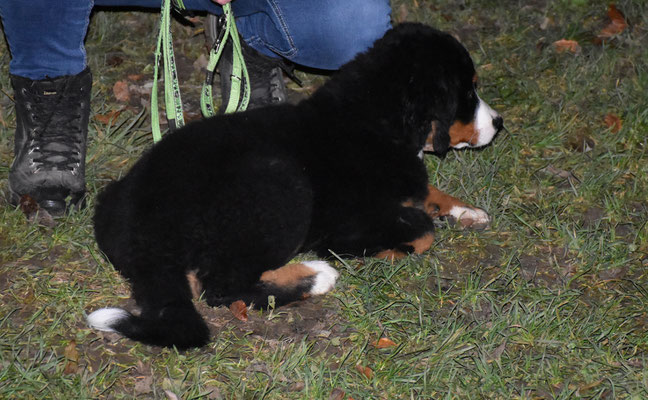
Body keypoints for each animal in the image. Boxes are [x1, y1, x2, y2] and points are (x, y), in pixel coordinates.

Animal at [87, 21, 502, 348]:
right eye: (468, 93)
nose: (498, 123)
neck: (374, 122)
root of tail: (141, 236)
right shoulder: (346, 221)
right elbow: (422, 230)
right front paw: (386, 248)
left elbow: (427, 194)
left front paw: (467, 210)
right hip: (281, 185)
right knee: (221, 286)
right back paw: (316, 275)